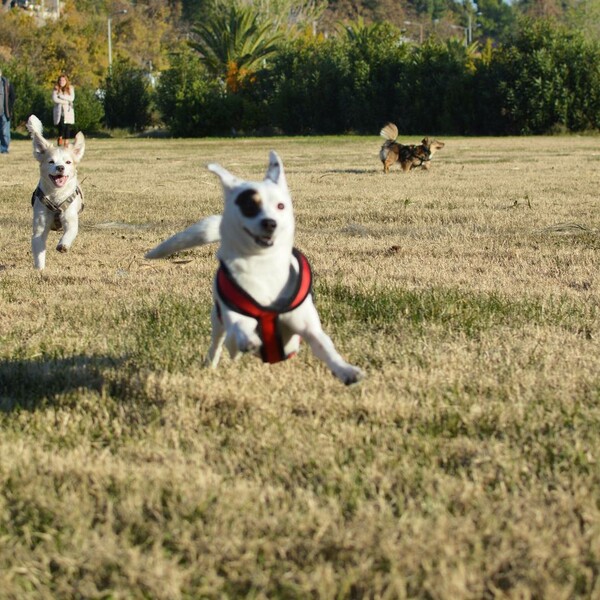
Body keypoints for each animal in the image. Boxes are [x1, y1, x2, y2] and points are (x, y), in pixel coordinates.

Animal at [26, 113, 85, 272]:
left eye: (68, 162)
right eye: (51, 162)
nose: (60, 167)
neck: (56, 196)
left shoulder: (70, 218)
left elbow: (70, 231)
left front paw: (63, 245)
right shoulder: (40, 226)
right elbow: (38, 247)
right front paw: (40, 270)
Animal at [145, 150, 364, 384]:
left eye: (280, 206)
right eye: (249, 206)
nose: (270, 223)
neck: (263, 264)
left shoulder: (306, 325)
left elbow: (324, 345)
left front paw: (346, 370)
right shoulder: (236, 316)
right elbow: (240, 329)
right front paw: (248, 341)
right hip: (217, 320)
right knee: (219, 343)